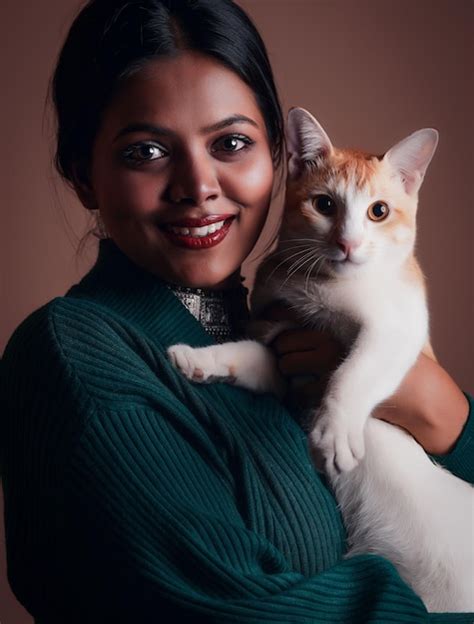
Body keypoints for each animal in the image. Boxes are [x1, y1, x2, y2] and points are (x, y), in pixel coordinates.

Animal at [168, 108, 474, 616]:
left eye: (378, 211)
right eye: (324, 205)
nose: (348, 243)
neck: (321, 285)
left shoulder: (397, 330)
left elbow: (355, 371)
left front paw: (334, 431)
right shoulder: (284, 353)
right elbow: (248, 355)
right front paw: (198, 359)